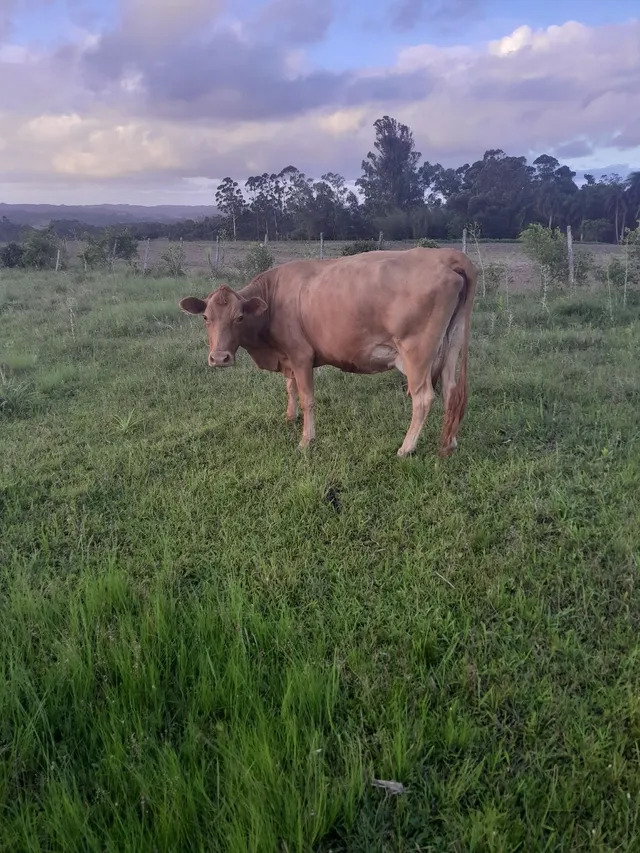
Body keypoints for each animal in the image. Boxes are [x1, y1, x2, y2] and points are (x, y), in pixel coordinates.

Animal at [178, 246, 477, 458]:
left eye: (239, 317)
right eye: (205, 318)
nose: (219, 358)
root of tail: (445, 255)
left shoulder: (301, 355)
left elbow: (307, 398)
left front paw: (305, 440)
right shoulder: (287, 356)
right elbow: (290, 388)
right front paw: (289, 417)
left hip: (417, 353)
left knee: (423, 397)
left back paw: (406, 448)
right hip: (450, 346)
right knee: (451, 392)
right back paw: (448, 443)